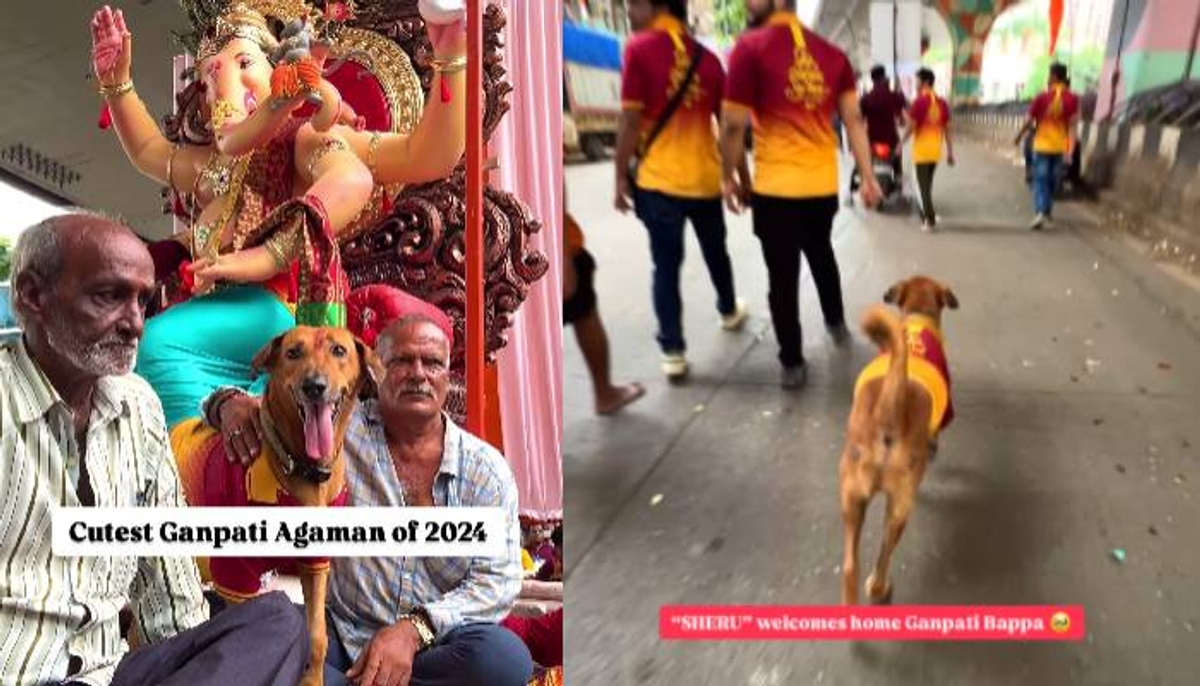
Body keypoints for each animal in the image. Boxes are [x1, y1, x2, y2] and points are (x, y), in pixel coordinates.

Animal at [171, 326, 379, 686]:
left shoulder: (316, 565)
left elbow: (317, 637)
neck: (303, 468)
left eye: (339, 350)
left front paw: (312, 679)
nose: (314, 386)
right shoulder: (237, 577)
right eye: (293, 353)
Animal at [840, 275, 960, 602]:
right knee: (884, 555)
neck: (918, 315)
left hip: (851, 500)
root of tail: (889, 407)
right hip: (899, 509)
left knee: (850, 567)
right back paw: (880, 587)